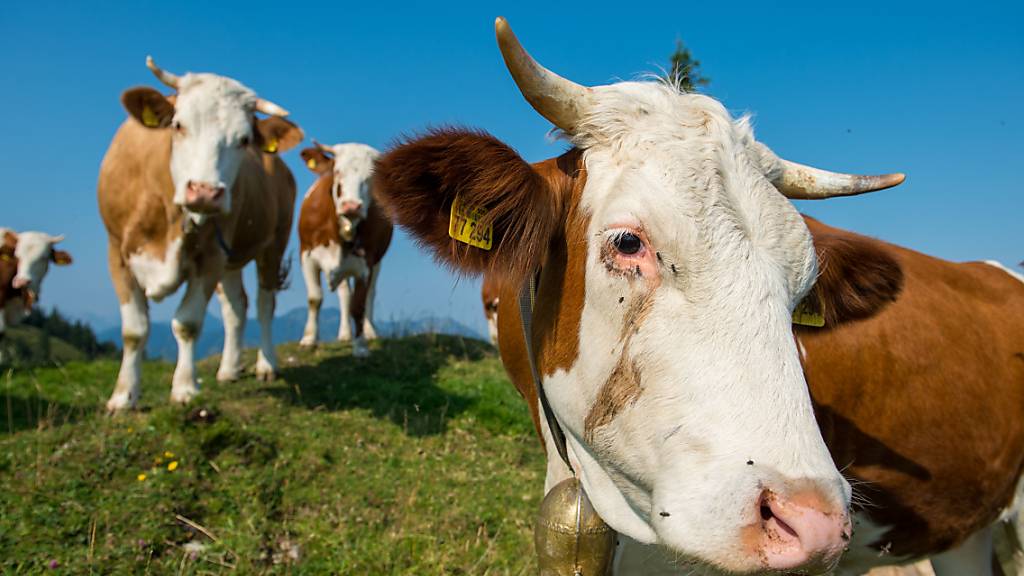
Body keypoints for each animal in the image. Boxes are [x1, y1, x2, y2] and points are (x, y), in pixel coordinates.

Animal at [98, 58, 302, 411]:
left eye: (244, 139)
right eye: (178, 125)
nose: (206, 192)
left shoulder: (211, 257)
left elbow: (187, 323)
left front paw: (184, 388)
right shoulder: (117, 251)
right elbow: (134, 330)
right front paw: (123, 397)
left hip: (273, 243)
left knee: (264, 302)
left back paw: (266, 364)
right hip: (232, 257)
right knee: (236, 306)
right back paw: (229, 369)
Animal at [296, 141, 392, 356]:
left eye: (370, 178)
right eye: (337, 172)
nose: (352, 206)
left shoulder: (366, 264)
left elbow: (358, 305)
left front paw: (361, 346)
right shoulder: (306, 255)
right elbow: (314, 298)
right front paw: (309, 339)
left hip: (378, 262)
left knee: (370, 294)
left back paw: (370, 331)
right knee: (344, 294)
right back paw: (345, 334)